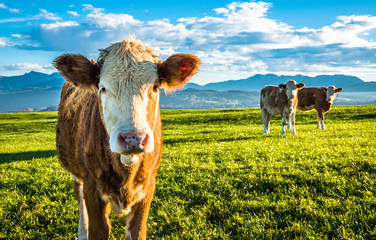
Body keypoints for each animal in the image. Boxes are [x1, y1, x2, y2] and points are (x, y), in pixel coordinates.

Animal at [53, 38, 200, 239]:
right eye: (103, 88)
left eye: (155, 87)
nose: (133, 139)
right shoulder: (92, 188)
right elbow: (97, 228)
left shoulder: (147, 187)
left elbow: (137, 231)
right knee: (79, 194)